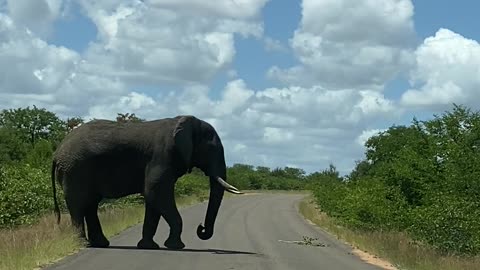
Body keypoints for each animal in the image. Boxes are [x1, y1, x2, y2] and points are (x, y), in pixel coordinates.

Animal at [50, 114, 242, 249]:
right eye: (211, 148)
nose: (200, 228)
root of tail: (56, 152)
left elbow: (153, 200)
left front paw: (149, 246)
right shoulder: (162, 156)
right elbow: (156, 194)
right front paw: (176, 246)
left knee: (90, 204)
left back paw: (100, 244)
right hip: (74, 169)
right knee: (78, 204)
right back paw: (84, 244)